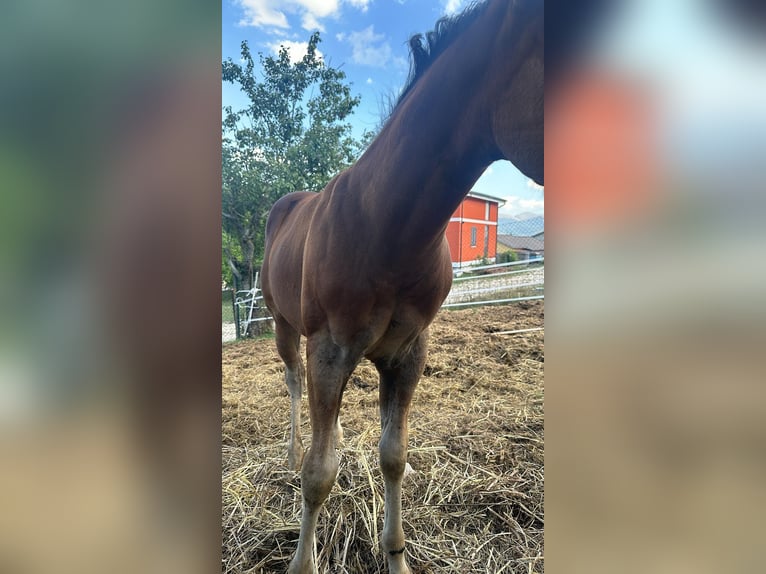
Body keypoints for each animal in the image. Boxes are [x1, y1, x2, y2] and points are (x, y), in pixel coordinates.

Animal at [262, 2, 544, 572]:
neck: (386, 227)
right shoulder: (330, 348)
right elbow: (318, 474)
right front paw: (303, 561)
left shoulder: (408, 351)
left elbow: (393, 454)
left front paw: (396, 555)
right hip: (284, 327)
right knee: (295, 384)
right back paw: (292, 448)